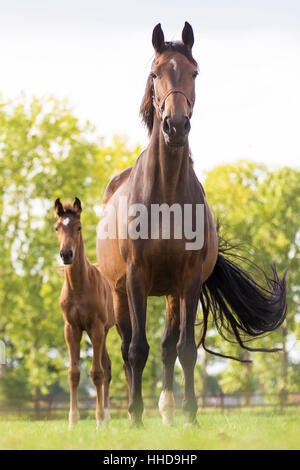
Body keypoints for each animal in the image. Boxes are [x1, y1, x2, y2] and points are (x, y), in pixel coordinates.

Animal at [54, 196, 114, 428]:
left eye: (78, 227)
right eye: (57, 228)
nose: (66, 254)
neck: (79, 287)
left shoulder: (95, 327)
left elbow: (96, 373)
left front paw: (98, 421)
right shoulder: (71, 328)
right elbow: (73, 372)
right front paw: (72, 422)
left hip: (111, 328)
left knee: (107, 368)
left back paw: (107, 417)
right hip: (103, 332)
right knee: (107, 366)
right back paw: (108, 416)